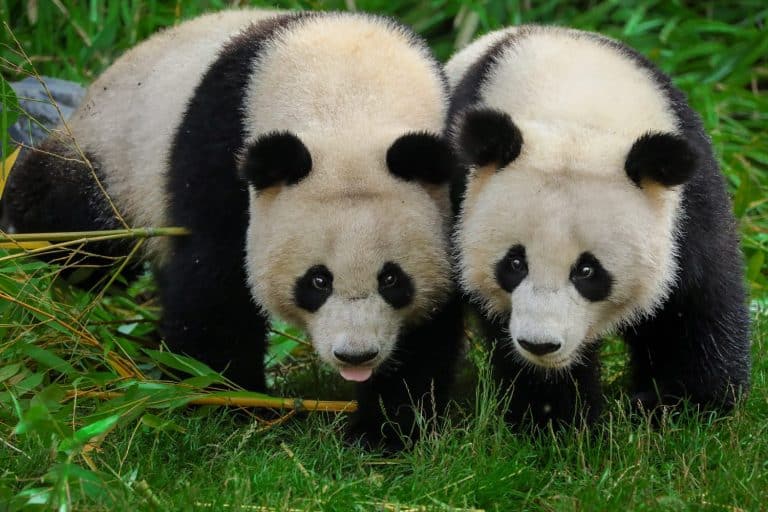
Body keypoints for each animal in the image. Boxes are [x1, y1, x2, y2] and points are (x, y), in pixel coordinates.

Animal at [3, 9, 463, 449]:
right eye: (317, 281)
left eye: (392, 280)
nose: (356, 355)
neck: (348, 97)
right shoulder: (222, 147)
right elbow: (215, 278)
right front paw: (228, 400)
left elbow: (432, 324)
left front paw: (384, 429)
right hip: (111, 161)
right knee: (77, 235)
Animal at [445, 25, 750, 426]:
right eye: (514, 263)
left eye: (587, 270)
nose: (539, 344)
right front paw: (555, 417)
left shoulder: (691, 202)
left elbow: (694, 301)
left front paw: (686, 406)